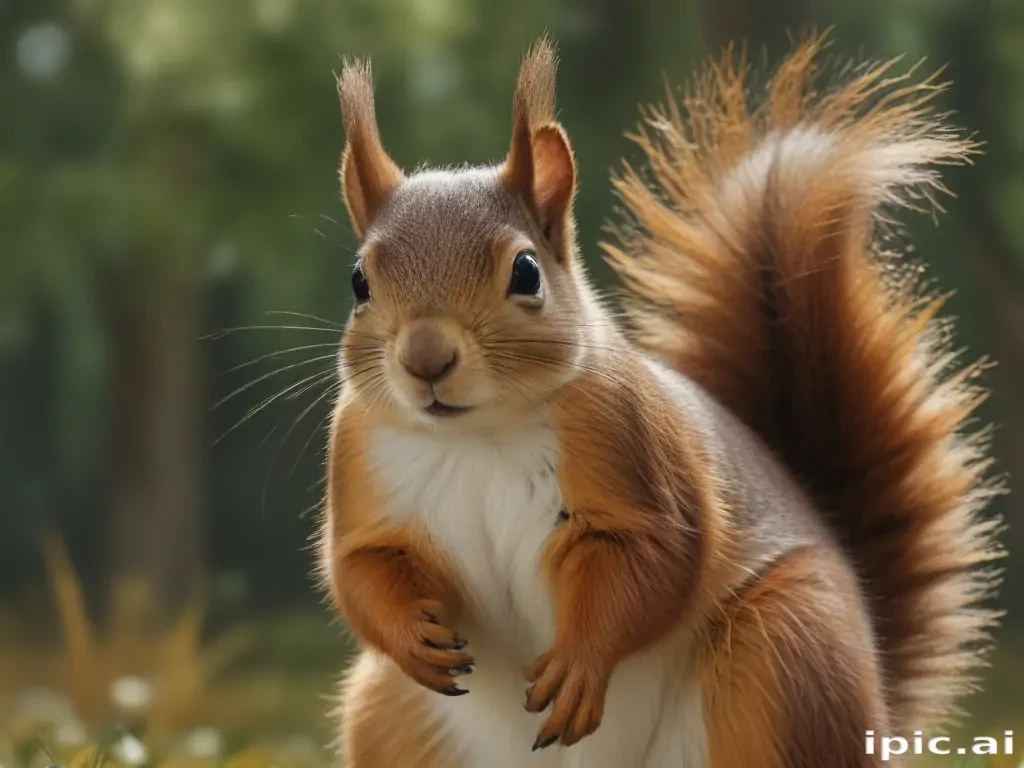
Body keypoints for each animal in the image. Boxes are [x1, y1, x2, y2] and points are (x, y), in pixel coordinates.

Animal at [319, 32, 1004, 768]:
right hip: (388, 714)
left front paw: (580, 665)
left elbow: (652, 564)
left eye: (527, 272)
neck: (478, 438)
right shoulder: (358, 460)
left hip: (784, 657)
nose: (425, 361)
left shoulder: (632, 449)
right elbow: (359, 569)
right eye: (359, 282)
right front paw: (411, 636)